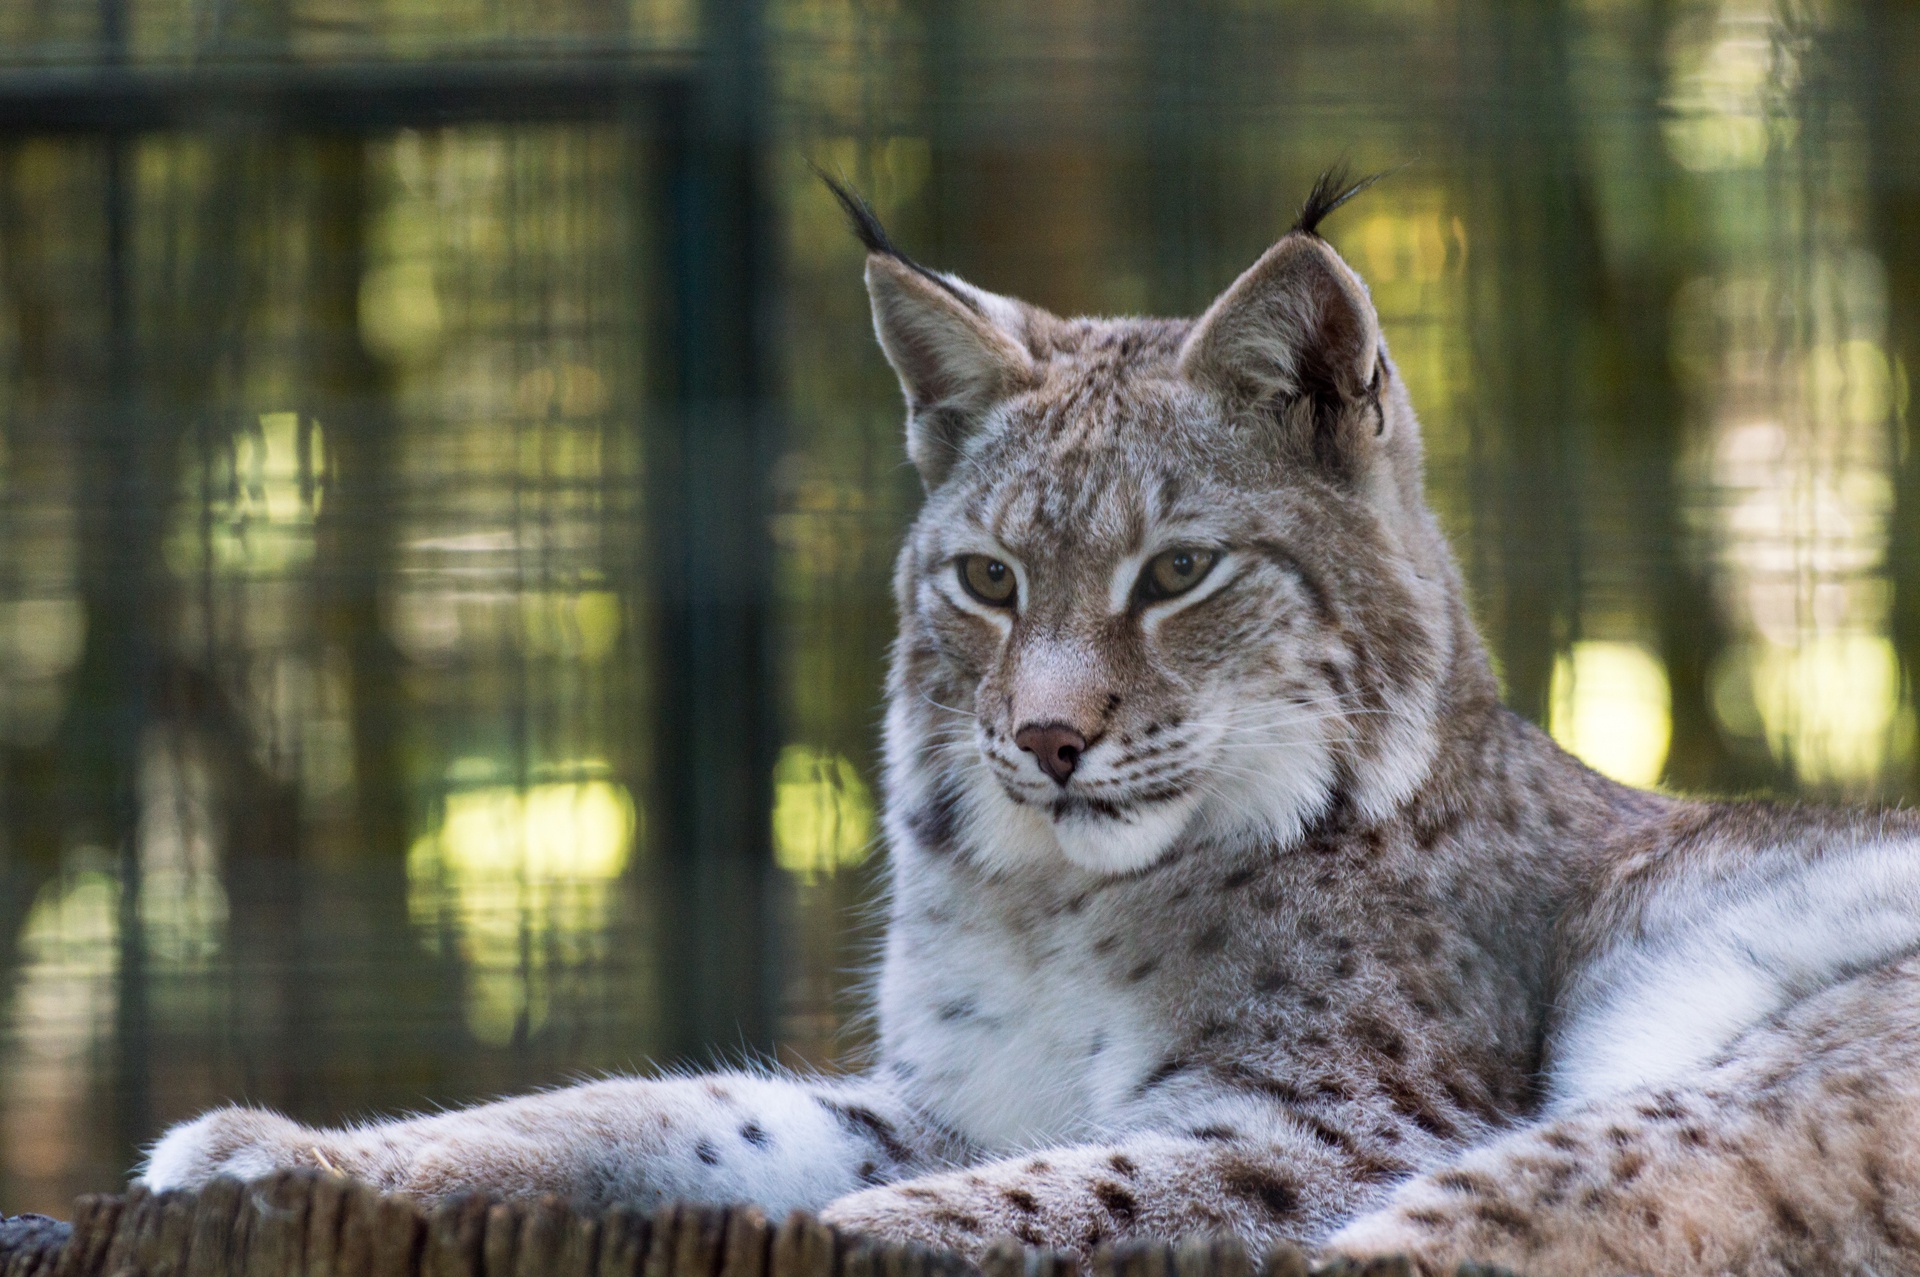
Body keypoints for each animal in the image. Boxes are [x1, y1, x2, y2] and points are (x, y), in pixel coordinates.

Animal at [149, 171, 1920, 1275]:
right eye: (988, 581)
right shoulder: (944, 1094)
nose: (1049, 741)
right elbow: (665, 1111)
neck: (1062, 896)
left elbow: (988, 1210)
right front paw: (282, 1153)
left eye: (1181, 571)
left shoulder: (1332, 1126)